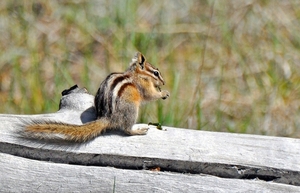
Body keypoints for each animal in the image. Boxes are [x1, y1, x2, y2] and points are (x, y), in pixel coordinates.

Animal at [22, 52, 170, 142]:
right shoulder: (144, 86)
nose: (163, 83)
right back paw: (138, 131)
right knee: (126, 130)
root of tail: (107, 117)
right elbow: (150, 95)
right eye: (156, 73)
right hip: (132, 109)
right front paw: (163, 93)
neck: (136, 74)